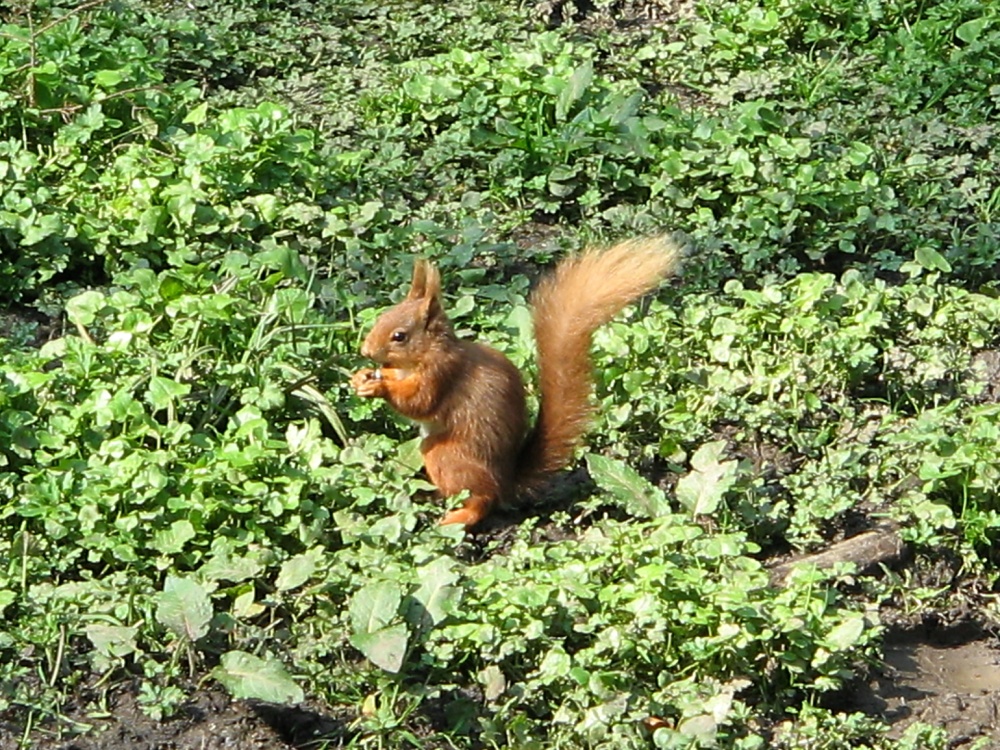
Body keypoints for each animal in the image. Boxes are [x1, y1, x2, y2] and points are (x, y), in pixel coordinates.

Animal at [351, 237, 681, 528]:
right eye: (382, 317)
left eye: (399, 336)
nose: (366, 351)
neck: (426, 354)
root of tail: (505, 484)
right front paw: (363, 377)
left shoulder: (443, 373)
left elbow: (420, 402)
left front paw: (380, 387)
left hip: (444, 456)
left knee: (481, 500)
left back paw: (459, 516)